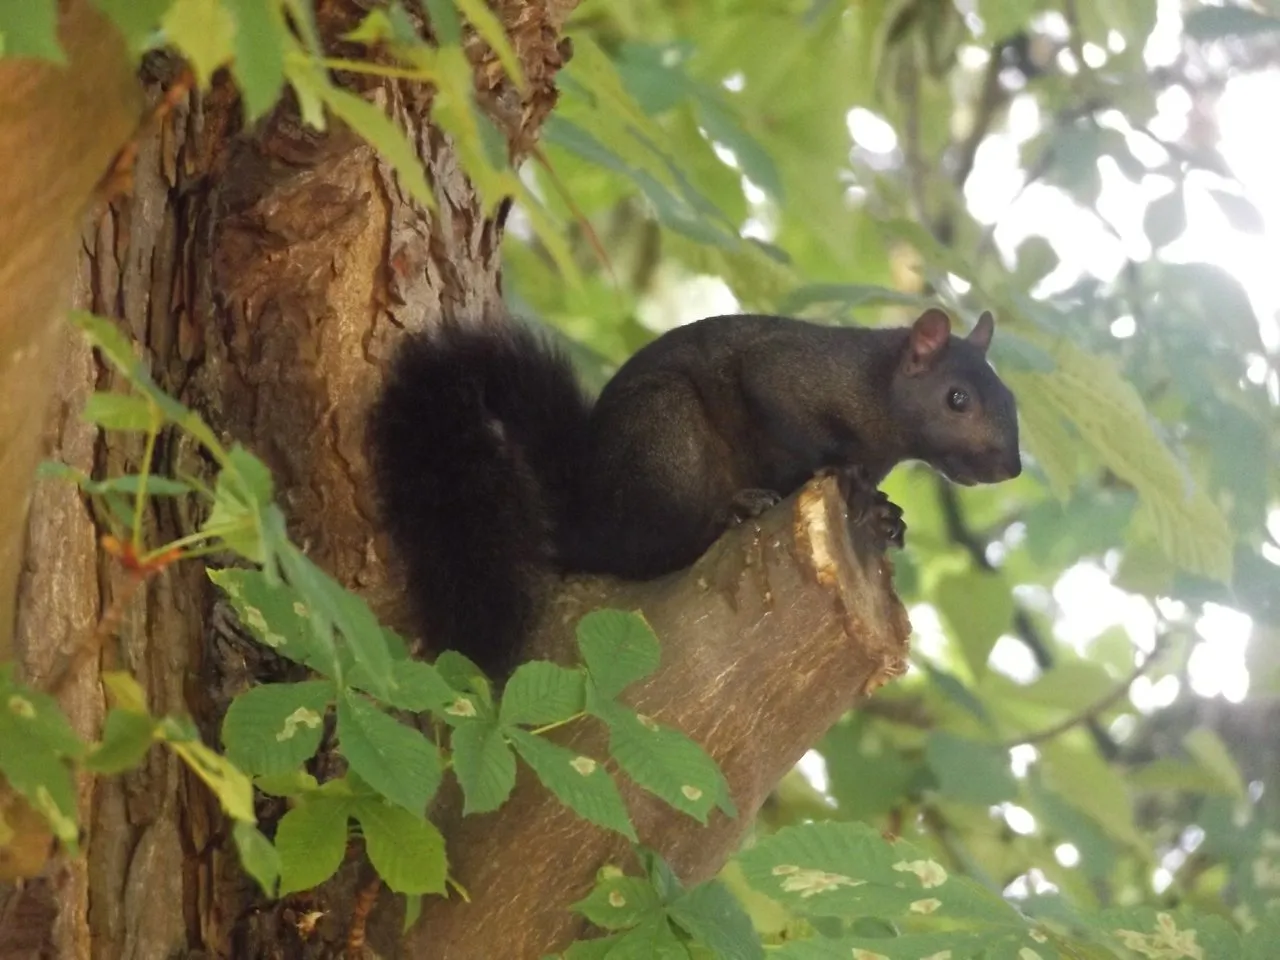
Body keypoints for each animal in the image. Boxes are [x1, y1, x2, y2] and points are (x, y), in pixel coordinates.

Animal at [369, 307, 1021, 678]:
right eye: (957, 399)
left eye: (1012, 400)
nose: (1010, 467)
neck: (878, 397)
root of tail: (587, 520)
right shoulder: (790, 375)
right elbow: (791, 422)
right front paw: (846, 475)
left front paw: (886, 516)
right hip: (666, 435)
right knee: (650, 548)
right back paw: (727, 514)